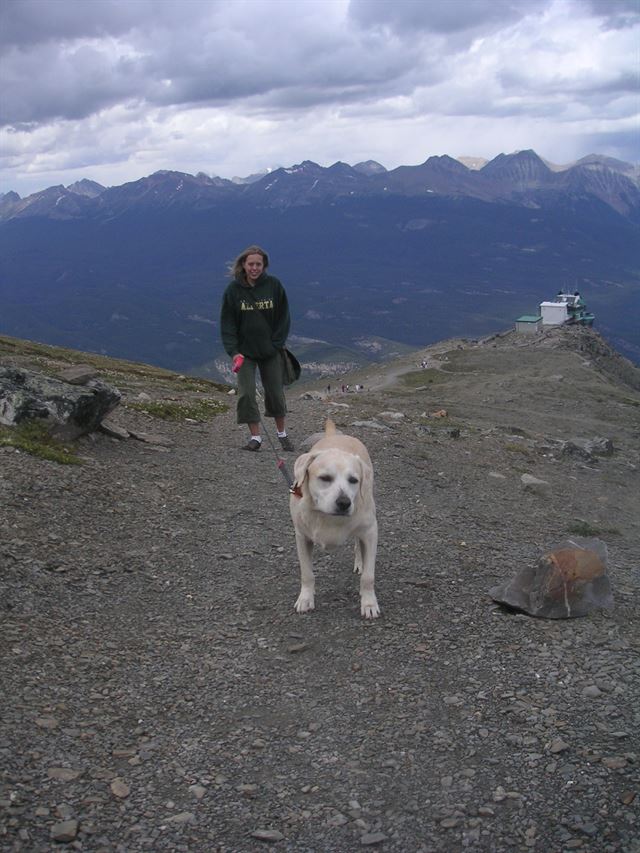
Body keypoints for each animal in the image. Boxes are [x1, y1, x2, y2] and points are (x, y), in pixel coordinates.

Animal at [288, 422, 378, 616]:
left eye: (354, 480)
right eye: (325, 478)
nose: (344, 502)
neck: (327, 516)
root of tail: (336, 436)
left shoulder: (370, 533)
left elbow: (368, 576)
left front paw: (369, 603)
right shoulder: (302, 537)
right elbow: (307, 573)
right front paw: (306, 598)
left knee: (358, 545)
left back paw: (359, 563)